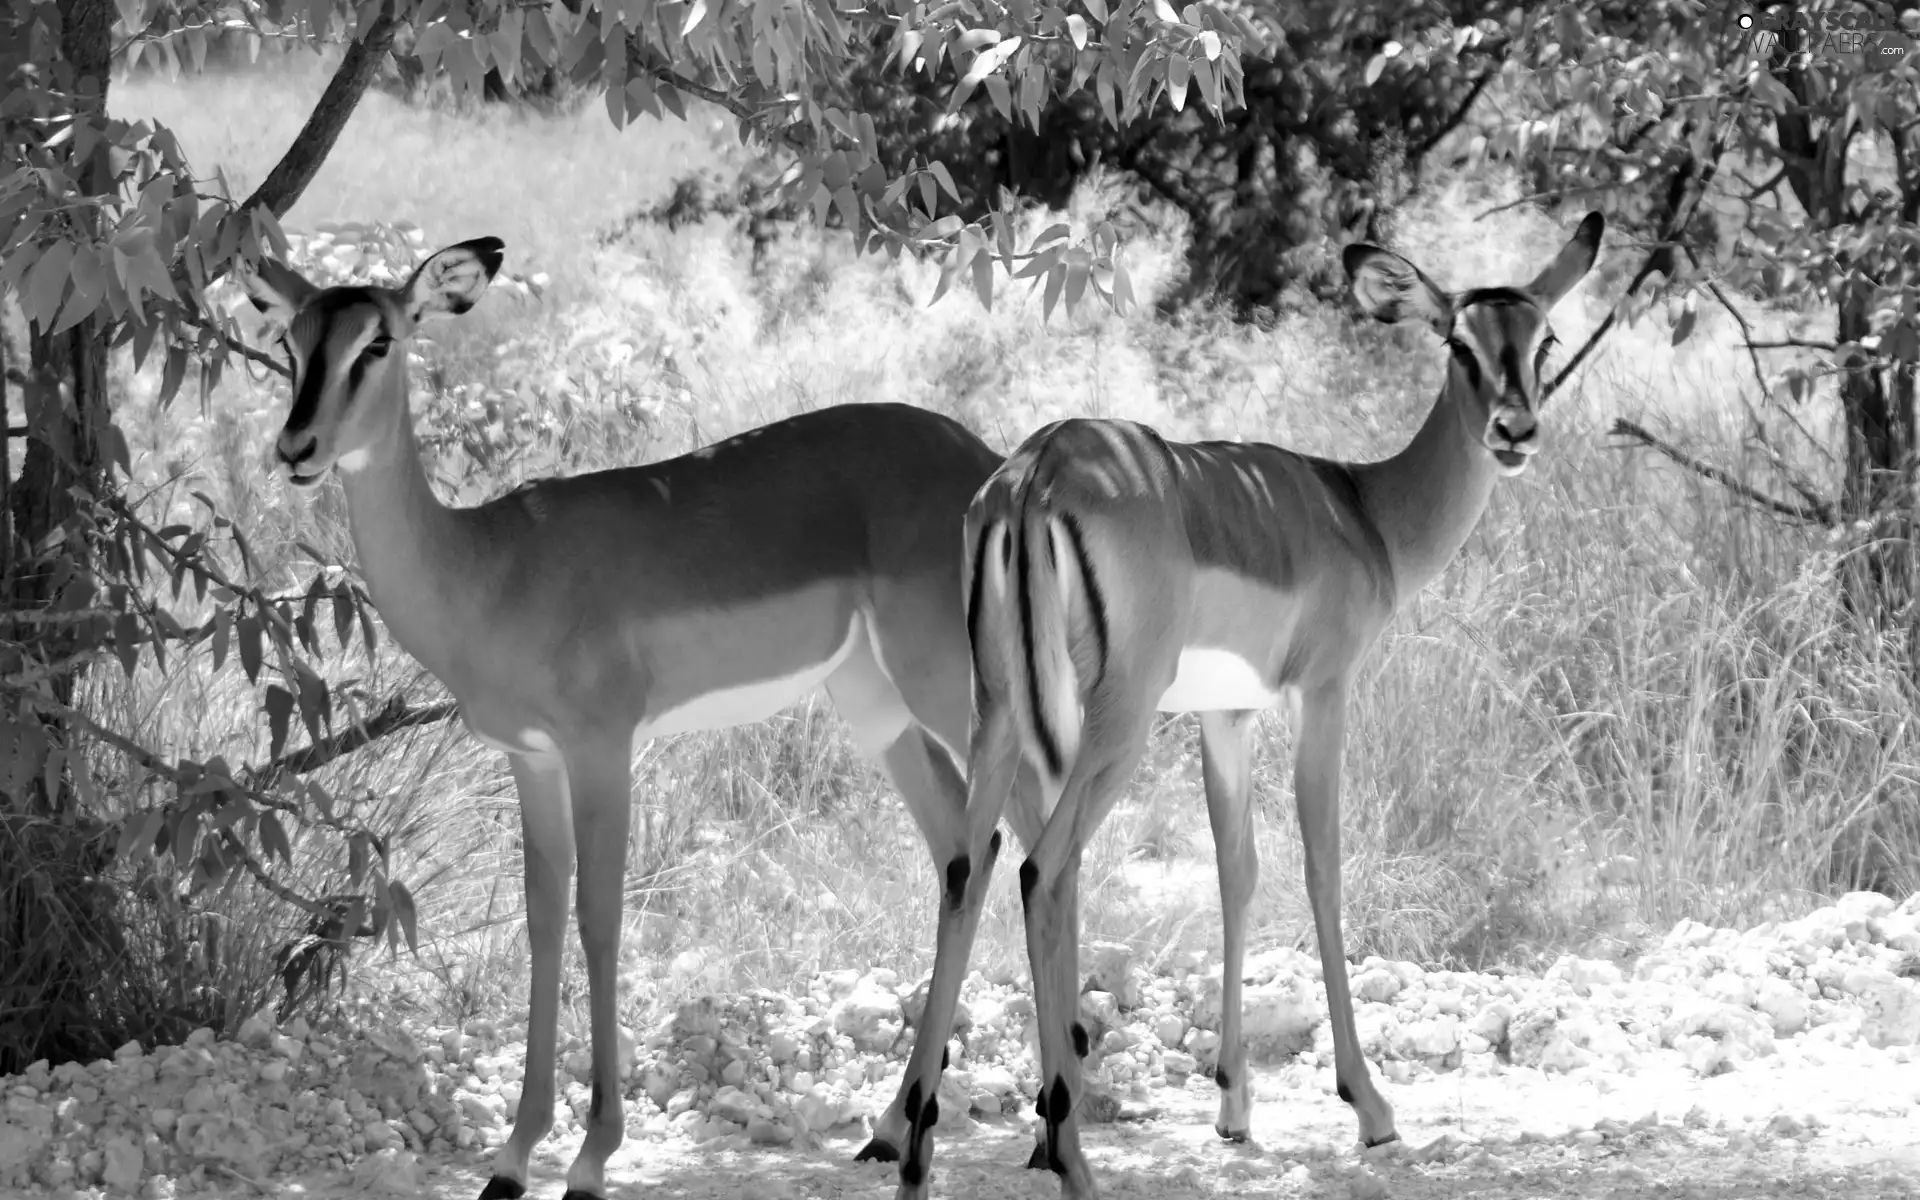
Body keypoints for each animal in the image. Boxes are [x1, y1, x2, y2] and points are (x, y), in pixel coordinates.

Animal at [240, 236, 1006, 1198]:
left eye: (377, 341)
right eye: (293, 340)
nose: (295, 447)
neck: (491, 567)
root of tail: (985, 463)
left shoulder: (601, 748)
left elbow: (599, 918)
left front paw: (592, 1155)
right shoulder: (531, 759)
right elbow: (542, 919)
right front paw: (511, 1158)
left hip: (953, 684)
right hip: (876, 706)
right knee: (958, 853)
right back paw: (892, 1129)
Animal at [871, 210, 1605, 1190]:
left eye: (1543, 338)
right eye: (1458, 341)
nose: (1515, 429)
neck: (1364, 510)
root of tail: (1034, 473)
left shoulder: (1226, 714)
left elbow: (1237, 871)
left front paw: (1233, 1106)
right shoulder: (1322, 692)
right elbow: (1322, 867)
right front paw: (1370, 1108)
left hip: (996, 714)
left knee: (968, 865)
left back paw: (917, 1150)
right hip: (1115, 725)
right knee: (1042, 869)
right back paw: (1067, 1157)